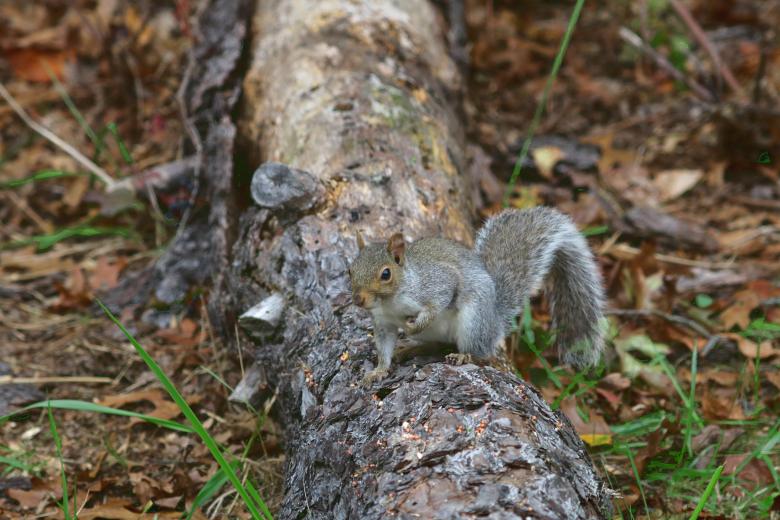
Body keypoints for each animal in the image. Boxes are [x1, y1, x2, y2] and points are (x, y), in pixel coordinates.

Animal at [348, 206, 606, 385]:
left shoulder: (436, 282)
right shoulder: (383, 322)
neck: (390, 302)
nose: (358, 299)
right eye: (350, 270)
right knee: (437, 344)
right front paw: (379, 370)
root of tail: (495, 323)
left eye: (386, 274)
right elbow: (384, 347)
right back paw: (412, 349)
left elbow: (439, 301)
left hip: (474, 321)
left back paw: (463, 356)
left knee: (479, 352)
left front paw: (416, 325)